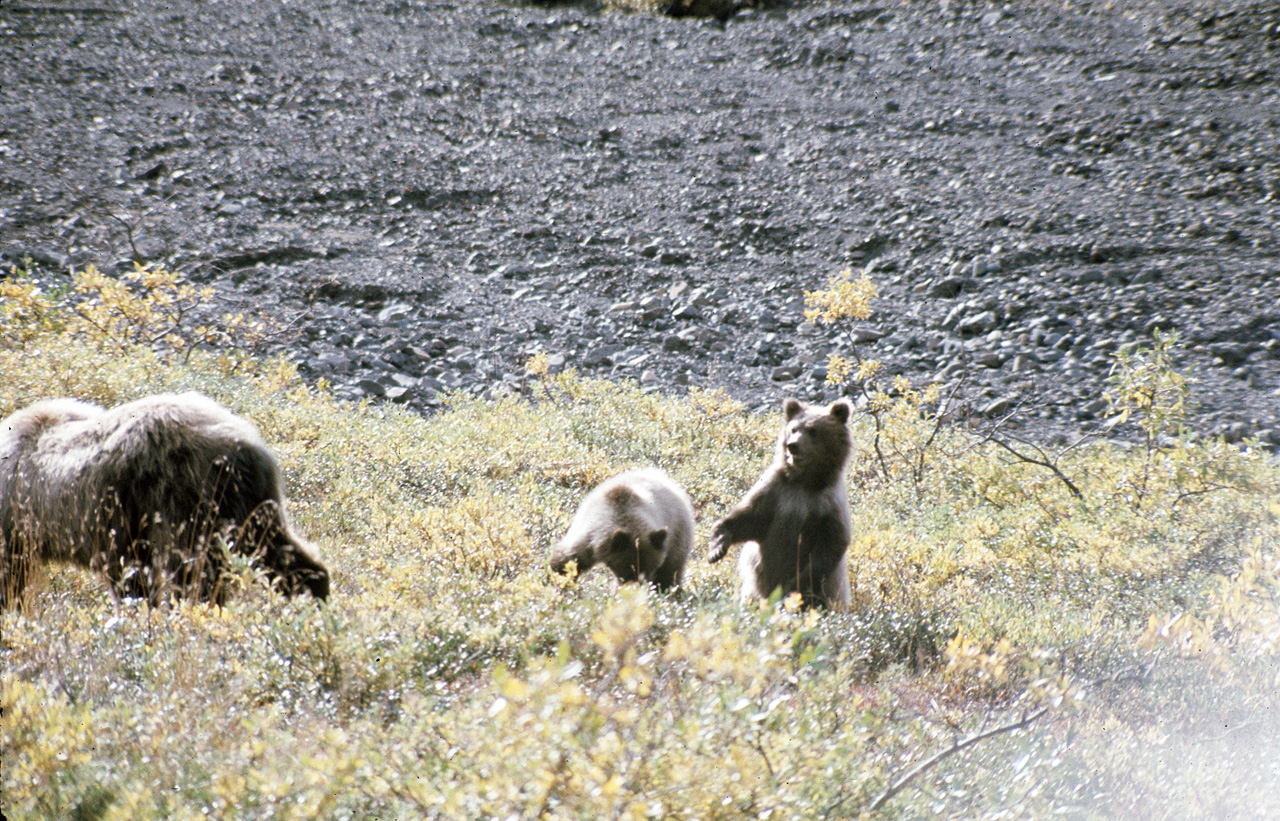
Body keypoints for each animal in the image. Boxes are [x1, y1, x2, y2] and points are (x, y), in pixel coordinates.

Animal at [1, 389, 330, 609]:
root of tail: (245, 447)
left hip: (183, 500)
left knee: (193, 571)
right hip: (250, 505)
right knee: (277, 549)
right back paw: (315, 595)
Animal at [547, 463, 696, 591]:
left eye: (651, 567)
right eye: (629, 569)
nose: (639, 586)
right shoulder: (588, 538)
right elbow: (568, 559)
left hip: (677, 533)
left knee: (672, 567)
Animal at [711, 397, 849, 609]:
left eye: (813, 430)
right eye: (793, 428)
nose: (793, 445)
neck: (805, 481)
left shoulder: (828, 504)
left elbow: (829, 547)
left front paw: (793, 586)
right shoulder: (776, 491)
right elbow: (748, 518)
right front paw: (717, 548)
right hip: (753, 588)